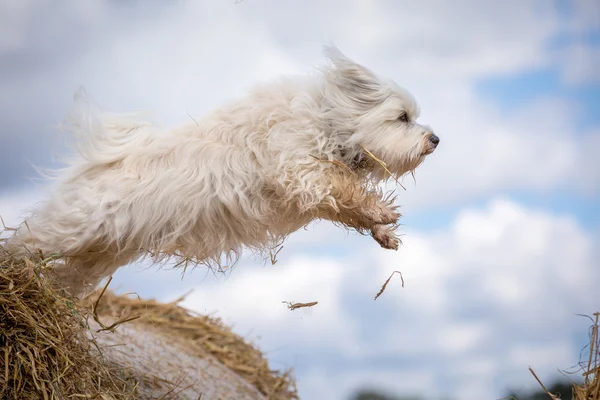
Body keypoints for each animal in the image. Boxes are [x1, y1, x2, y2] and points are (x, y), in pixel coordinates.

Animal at [3, 46, 440, 296]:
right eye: (402, 117)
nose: (435, 139)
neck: (328, 118)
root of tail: (96, 167)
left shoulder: (312, 195)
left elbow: (346, 204)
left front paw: (383, 232)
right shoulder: (297, 169)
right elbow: (343, 187)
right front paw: (383, 213)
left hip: (102, 256)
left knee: (67, 279)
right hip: (68, 230)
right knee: (23, 245)